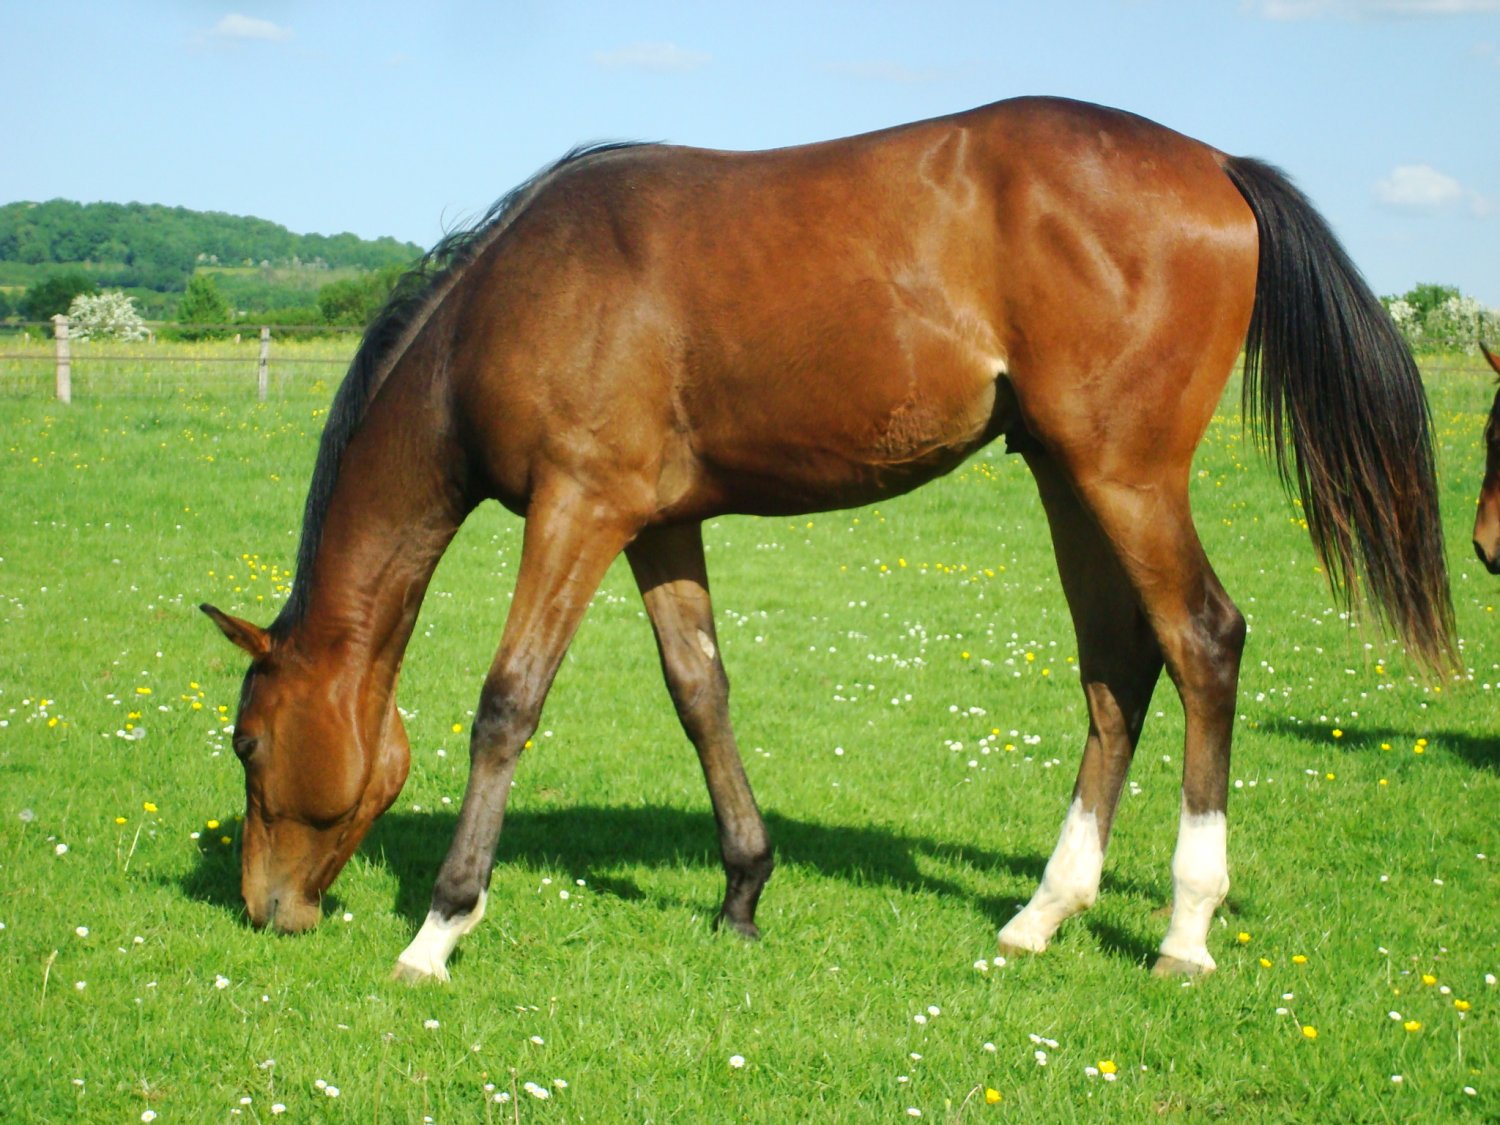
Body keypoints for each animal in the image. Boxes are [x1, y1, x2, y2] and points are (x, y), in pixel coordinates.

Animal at [201, 96, 1454, 983]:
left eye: (248, 744)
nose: (268, 911)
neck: (505, 304)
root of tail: (1217, 163)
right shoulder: (660, 525)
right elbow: (700, 694)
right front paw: (743, 893)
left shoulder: (579, 508)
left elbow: (509, 702)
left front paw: (440, 927)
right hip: (1067, 475)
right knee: (1118, 667)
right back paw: (1043, 914)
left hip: (1127, 476)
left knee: (1203, 642)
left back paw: (1185, 928)